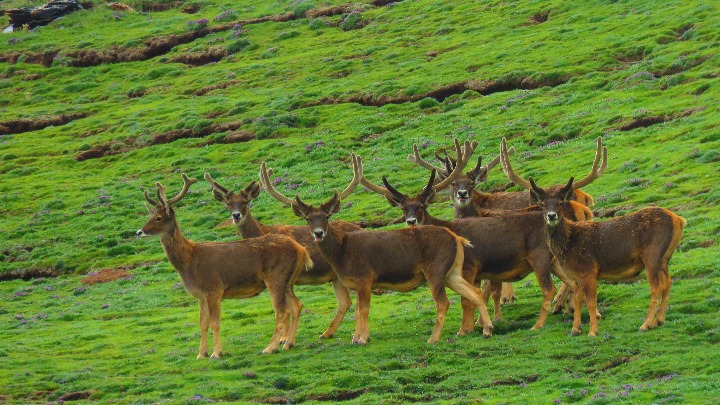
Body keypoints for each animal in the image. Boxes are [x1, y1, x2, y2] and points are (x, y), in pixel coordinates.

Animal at [138, 174, 312, 356]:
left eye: (158, 218)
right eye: (149, 216)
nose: (139, 232)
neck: (188, 261)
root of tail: (301, 249)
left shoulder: (214, 289)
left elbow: (215, 322)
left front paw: (216, 353)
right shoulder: (201, 295)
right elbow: (202, 323)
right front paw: (201, 354)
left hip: (276, 277)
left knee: (282, 312)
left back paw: (270, 348)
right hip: (288, 281)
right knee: (296, 305)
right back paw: (288, 343)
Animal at [202, 170, 360, 338]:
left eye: (245, 201)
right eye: (228, 204)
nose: (236, 215)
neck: (263, 231)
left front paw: (284, 338)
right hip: (335, 277)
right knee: (345, 302)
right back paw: (327, 333)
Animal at [258, 150, 496, 342]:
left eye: (326, 216)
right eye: (308, 218)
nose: (318, 233)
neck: (341, 255)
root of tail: (458, 239)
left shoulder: (365, 277)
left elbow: (363, 310)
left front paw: (362, 339)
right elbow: (357, 310)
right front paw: (358, 336)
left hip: (435, 270)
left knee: (444, 302)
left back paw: (434, 338)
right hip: (452, 272)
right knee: (474, 291)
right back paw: (487, 329)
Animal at [500, 137, 688, 334]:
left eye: (561, 202)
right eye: (542, 204)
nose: (551, 216)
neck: (569, 245)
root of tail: (679, 219)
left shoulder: (590, 270)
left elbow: (590, 302)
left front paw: (592, 331)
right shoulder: (576, 276)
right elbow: (578, 299)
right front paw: (575, 329)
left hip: (652, 254)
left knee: (656, 287)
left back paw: (646, 323)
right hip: (665, 257)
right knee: (668, 282)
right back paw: (659, 320)